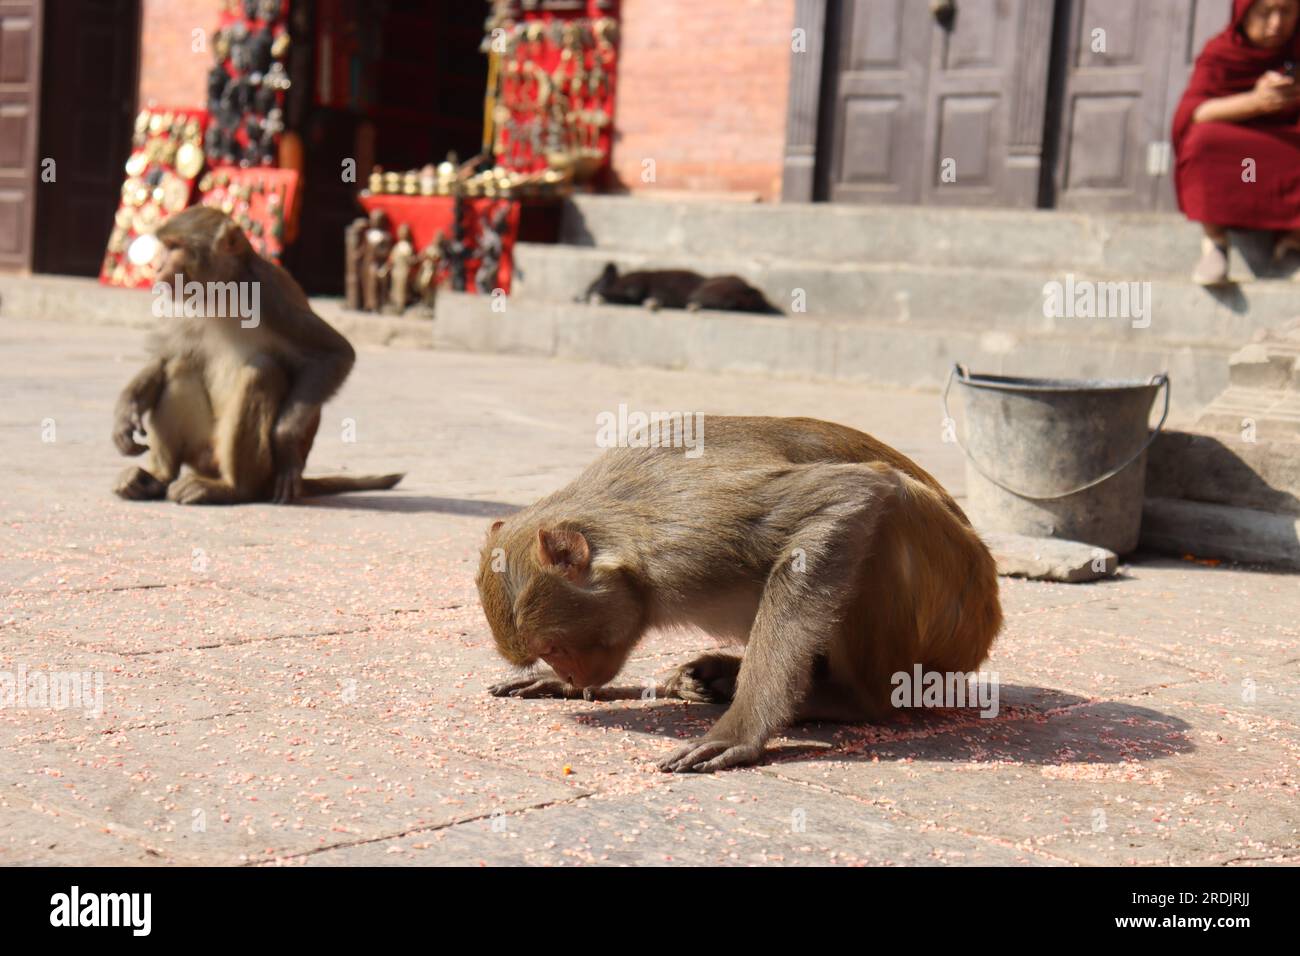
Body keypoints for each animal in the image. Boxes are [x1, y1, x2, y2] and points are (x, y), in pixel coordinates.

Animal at [115, 208, 403, 509]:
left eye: (174, 247)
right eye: (166, 246)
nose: (158, 267)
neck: (222, 291)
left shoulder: (269, 294)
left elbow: (335, 354)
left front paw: (285, 441)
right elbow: (168, 355)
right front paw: (126, 411)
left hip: (261, 471)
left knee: (262, 371)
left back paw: (233, 489)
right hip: (203, 452)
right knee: (179, 366)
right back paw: (156, 478)